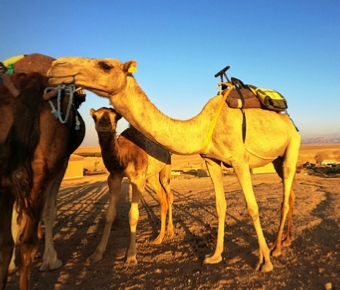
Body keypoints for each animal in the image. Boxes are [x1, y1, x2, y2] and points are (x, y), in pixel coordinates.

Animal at [87, 107, 173, 266]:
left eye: (115, 117)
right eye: (95, 116)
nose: (104, 124)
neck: (124, 157)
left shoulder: (138, 180)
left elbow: (133, 215)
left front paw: (131, 256)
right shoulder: (114, 177)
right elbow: (109, 215)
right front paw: (97, 253)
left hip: (166, 168)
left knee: (169, 195)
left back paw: (170, 231)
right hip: (151, 176)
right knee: (162, 197)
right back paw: (159, 238)